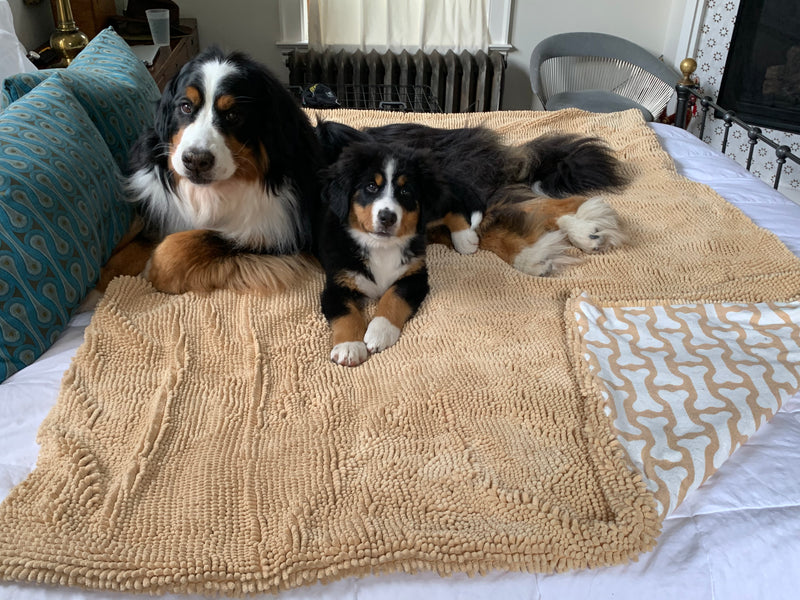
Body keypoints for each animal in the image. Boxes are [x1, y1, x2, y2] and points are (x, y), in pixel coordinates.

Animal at [126, 45, 320, 294]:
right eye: (186, 106)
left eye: (233, 115)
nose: (195, 161)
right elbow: (128, 247)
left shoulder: (279, 234)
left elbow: (202, 239)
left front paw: (154, 271)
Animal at [318, 142, 444, 366]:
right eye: (371, 187)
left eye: (405, 191)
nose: (387, 217)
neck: (380, 247)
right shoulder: (336, 284)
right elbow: (346, 314)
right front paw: (349, 347)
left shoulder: (415, 277)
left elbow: (394, 296)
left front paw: (379, 332)